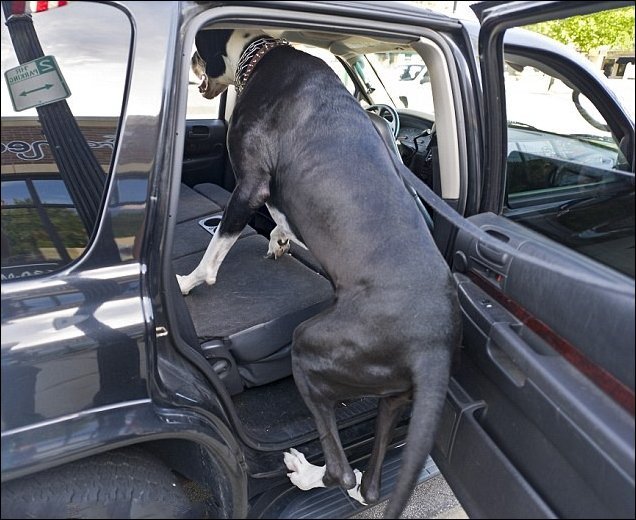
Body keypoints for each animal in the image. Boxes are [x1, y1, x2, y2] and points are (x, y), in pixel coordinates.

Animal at [176, 29, 460, 520]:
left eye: (198, 50)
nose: (190, 62)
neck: (259, 53)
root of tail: (434, 347)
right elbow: (279, 217)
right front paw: (279, 239)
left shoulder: (250, 183)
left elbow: (218, 246)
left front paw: (190, 281)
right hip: (391, 398)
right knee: (366, 484)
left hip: (307, 346)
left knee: (341, 471)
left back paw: (304, 471)